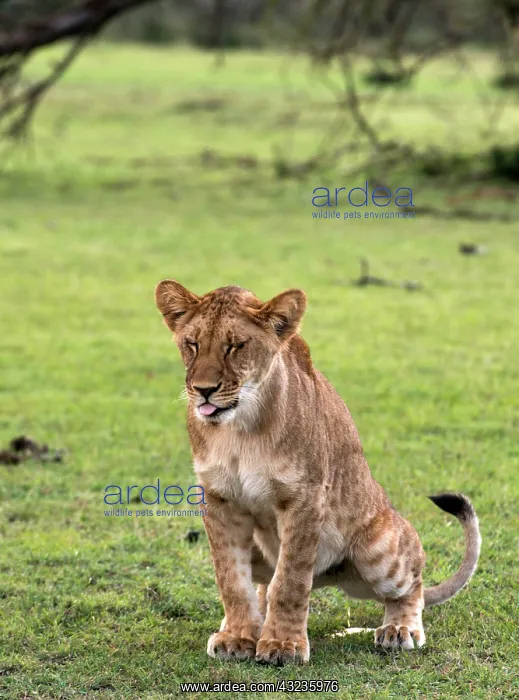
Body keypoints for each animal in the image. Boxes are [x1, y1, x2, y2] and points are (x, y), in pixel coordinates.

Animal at [155, 281, 481, 666]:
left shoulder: (304, 497)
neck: (239, 430)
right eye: (192, 344)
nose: (203, 390)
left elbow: (291, 580)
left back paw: (400, 630)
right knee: (262, 585)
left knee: (411, 585)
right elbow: (231, 579)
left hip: (378, 547)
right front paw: (237, 637)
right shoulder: (220, 501)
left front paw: (283, 645)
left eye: (236, 346)